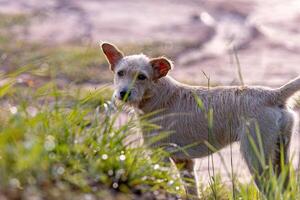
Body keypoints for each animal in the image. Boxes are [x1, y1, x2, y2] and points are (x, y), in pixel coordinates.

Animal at [101, 42, 300, 198]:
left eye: (142, 77)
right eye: (120, 73)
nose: (123, 93)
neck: (159, 94)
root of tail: (273, 94)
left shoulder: (160, 155)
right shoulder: (184, 161)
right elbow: (192, 190)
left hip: (256, 158)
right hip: (280, 153)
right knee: (285, 187)